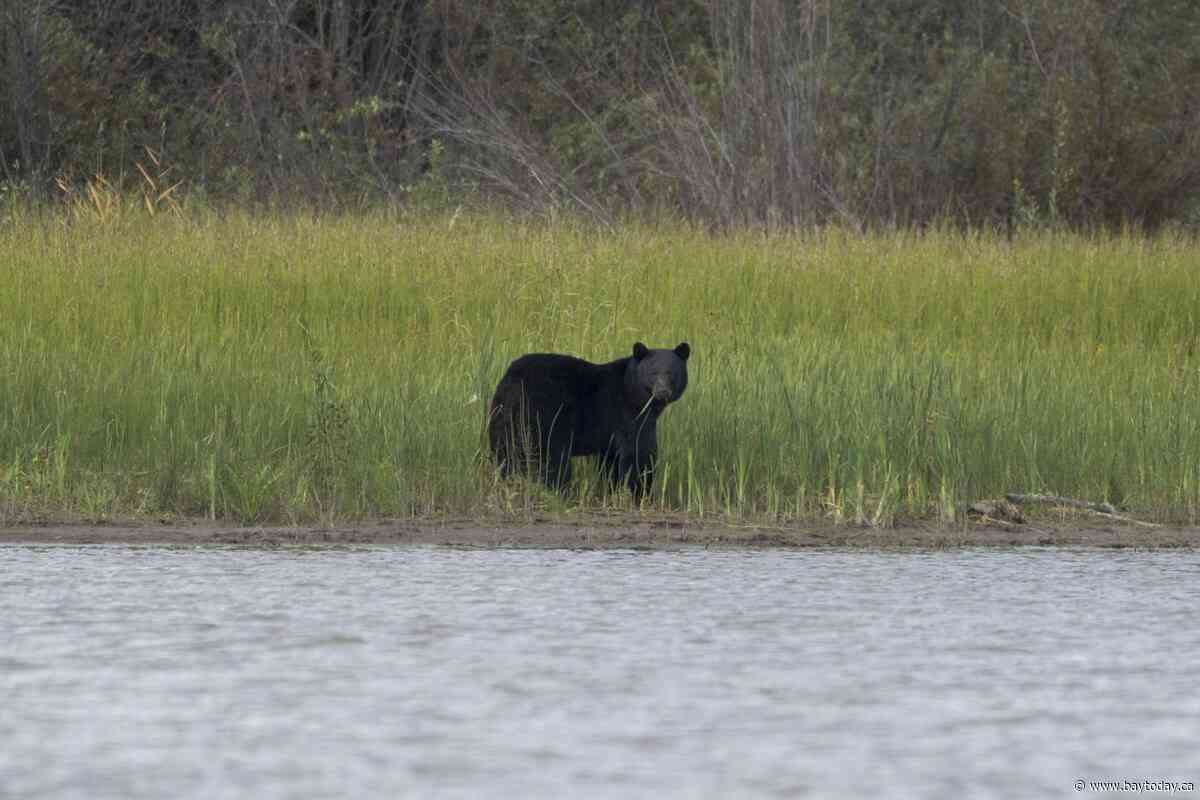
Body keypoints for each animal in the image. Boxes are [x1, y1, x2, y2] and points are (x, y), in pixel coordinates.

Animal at [487, 342, 691, 499]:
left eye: (671, 372)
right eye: (653, 372)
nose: (663, 392)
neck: (632, 391)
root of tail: (514, 380)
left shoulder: (610, 435)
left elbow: (612, 461)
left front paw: (613, 491)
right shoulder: (628, 414)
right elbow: (639, 453)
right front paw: (641, 494)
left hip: (502, 415)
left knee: (505, 453)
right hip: (544, 417)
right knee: (552, 459)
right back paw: (559, 493)